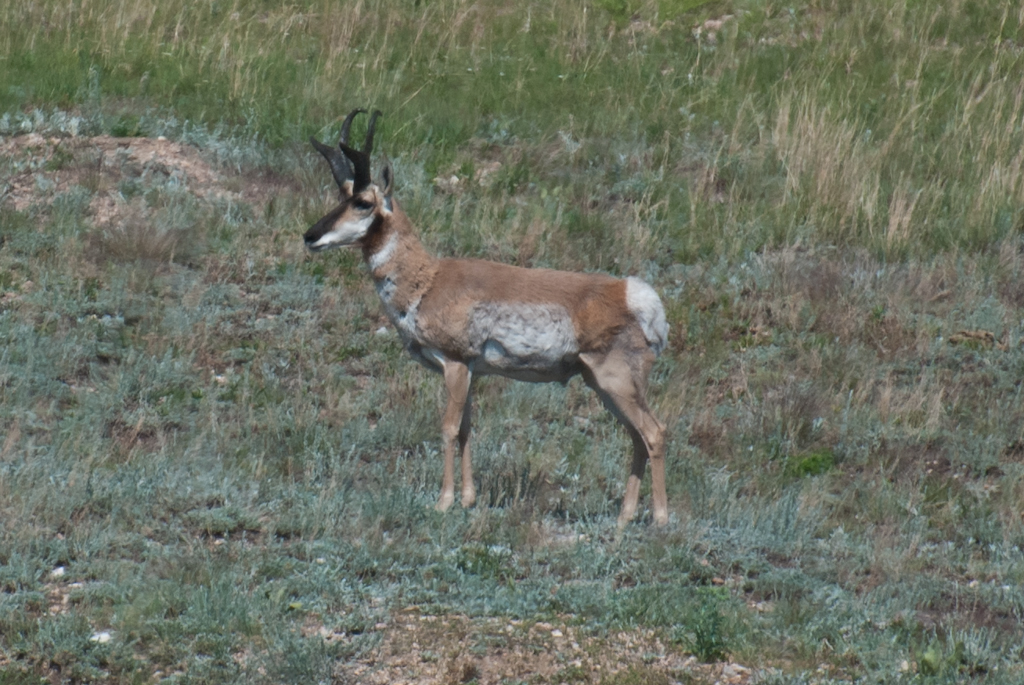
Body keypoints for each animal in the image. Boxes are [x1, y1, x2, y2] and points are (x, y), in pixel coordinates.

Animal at [303, 108, 671, 524]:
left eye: (364, 201)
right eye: (341, 195)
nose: (310, 236)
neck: (428, 279)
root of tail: (634, 293)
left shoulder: (455, 364)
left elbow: (448, 429)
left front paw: (443, 501)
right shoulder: (473, 372)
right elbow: (466, 429)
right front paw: (467, 498)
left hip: (617, 381)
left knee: (654, 432)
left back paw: (660, 518)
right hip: (602, 385)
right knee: (637, 436)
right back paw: (624, 518)